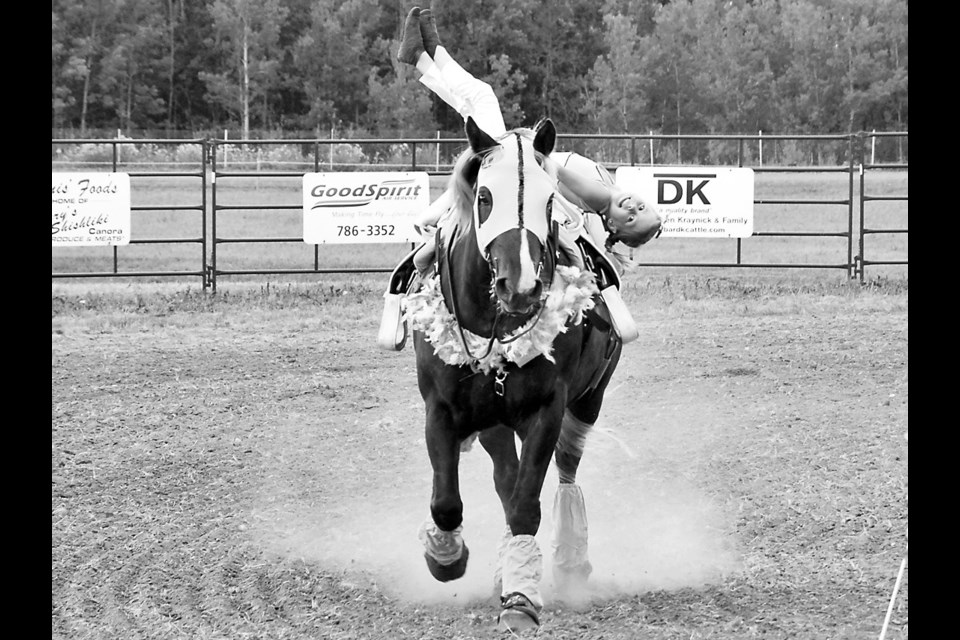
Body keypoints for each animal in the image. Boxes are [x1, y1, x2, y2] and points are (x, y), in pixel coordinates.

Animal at [406, 117, 624, 632]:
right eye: (484, 196)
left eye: (549, 201)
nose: (522, 286)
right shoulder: (441, 410)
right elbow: (447, 502)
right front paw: (446, 556)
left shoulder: (548, 410)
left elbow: (525, 506)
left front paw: (521, 598)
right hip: (494, 424)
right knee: (504, 478)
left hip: (588, 401)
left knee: (563, 472)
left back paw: (566, 560)